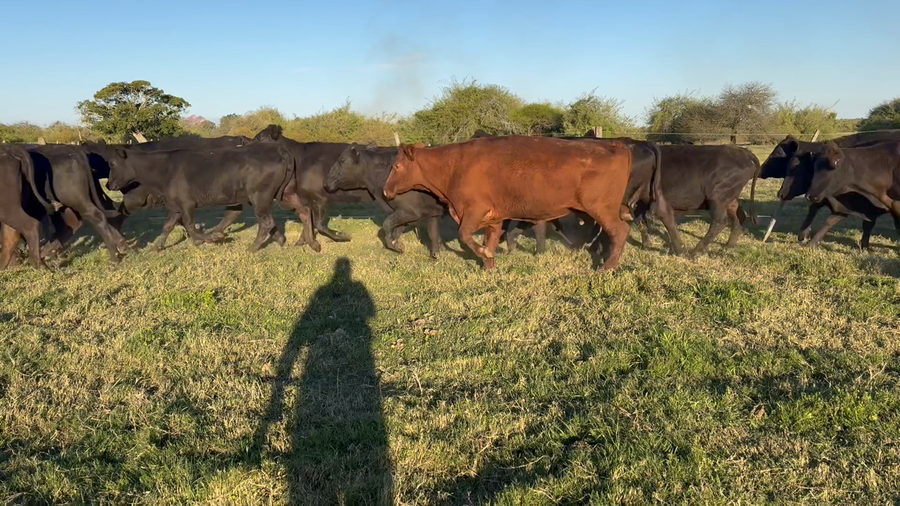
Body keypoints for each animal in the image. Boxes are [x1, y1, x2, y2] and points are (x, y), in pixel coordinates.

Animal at [100, 143, 296, 252]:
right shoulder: (176, 205)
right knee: (262, 220)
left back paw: (253, 247)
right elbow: (168, 225)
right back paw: (279, 239)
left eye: (112, 163)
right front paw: (158, 246)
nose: (108, 185)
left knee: (265, 222)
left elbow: (190, 226)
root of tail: (278, 150)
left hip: (258, 196)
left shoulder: (186, 203)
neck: (164, 169)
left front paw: (212, 238)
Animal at [383, 135, 634, 271]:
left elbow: (465, 236)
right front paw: (488, 266)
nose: (385, 191)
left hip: (601, 209)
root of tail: (615, 145)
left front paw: (484, 254)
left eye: (396, 166)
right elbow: (490, 239)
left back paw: (606, 267)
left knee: (619, 231)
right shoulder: (493, 218)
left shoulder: (473, 211)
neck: (455, 166)